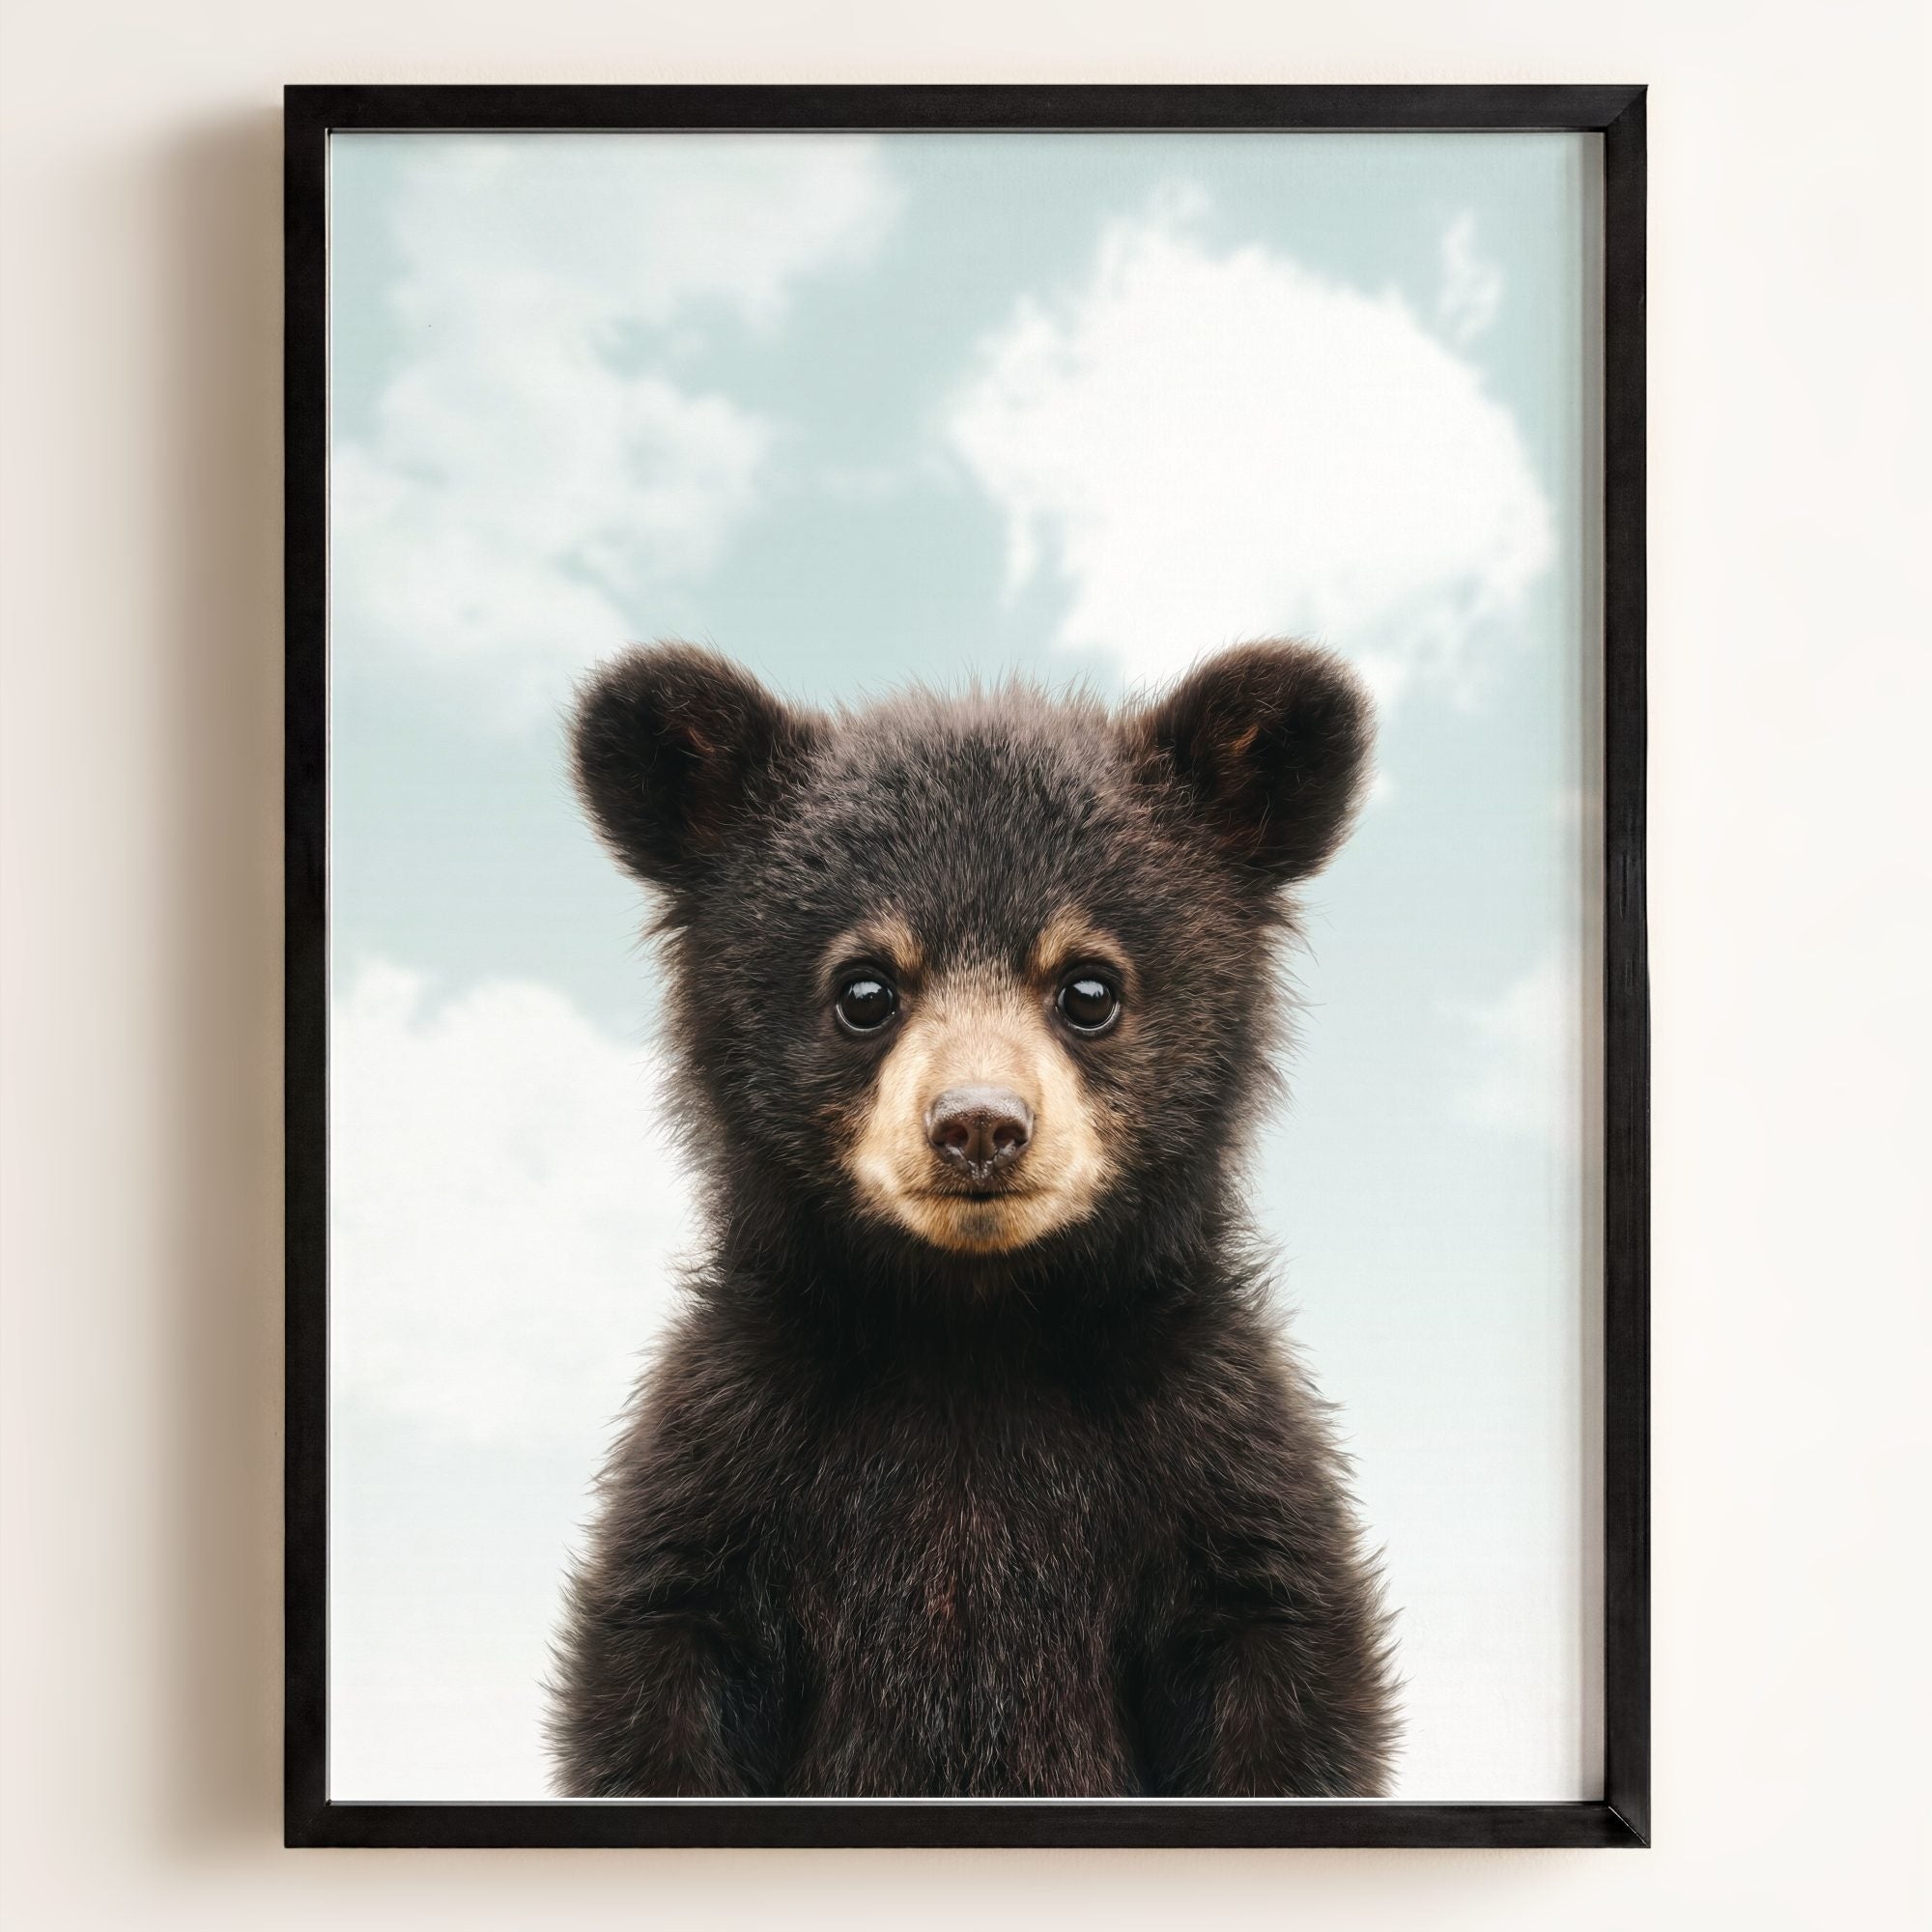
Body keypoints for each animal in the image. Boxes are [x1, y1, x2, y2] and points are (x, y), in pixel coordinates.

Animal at [548, 639, 1397, 1798]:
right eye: (864, 989)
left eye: (1089, 987)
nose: (980, 1125)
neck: (971, 1329)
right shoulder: (730, 1451)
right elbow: (660, 1662)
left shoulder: (1213, 1449)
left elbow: (1281, 1661)